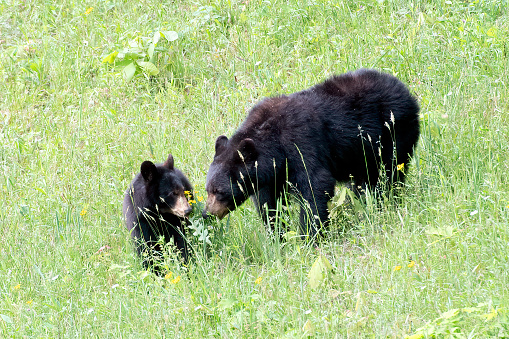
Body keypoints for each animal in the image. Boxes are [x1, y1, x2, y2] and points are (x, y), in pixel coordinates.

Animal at [202, 68, 420, 238]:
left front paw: (310, 235)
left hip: (392, 135)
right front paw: (277, 234)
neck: (273, 143)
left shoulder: (300, 142)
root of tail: (406, 91)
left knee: (388, 174)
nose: (206, 213)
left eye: (219, 191)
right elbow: (268, 202)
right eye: (207, 189)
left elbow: (315, 185)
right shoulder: (271, 174)